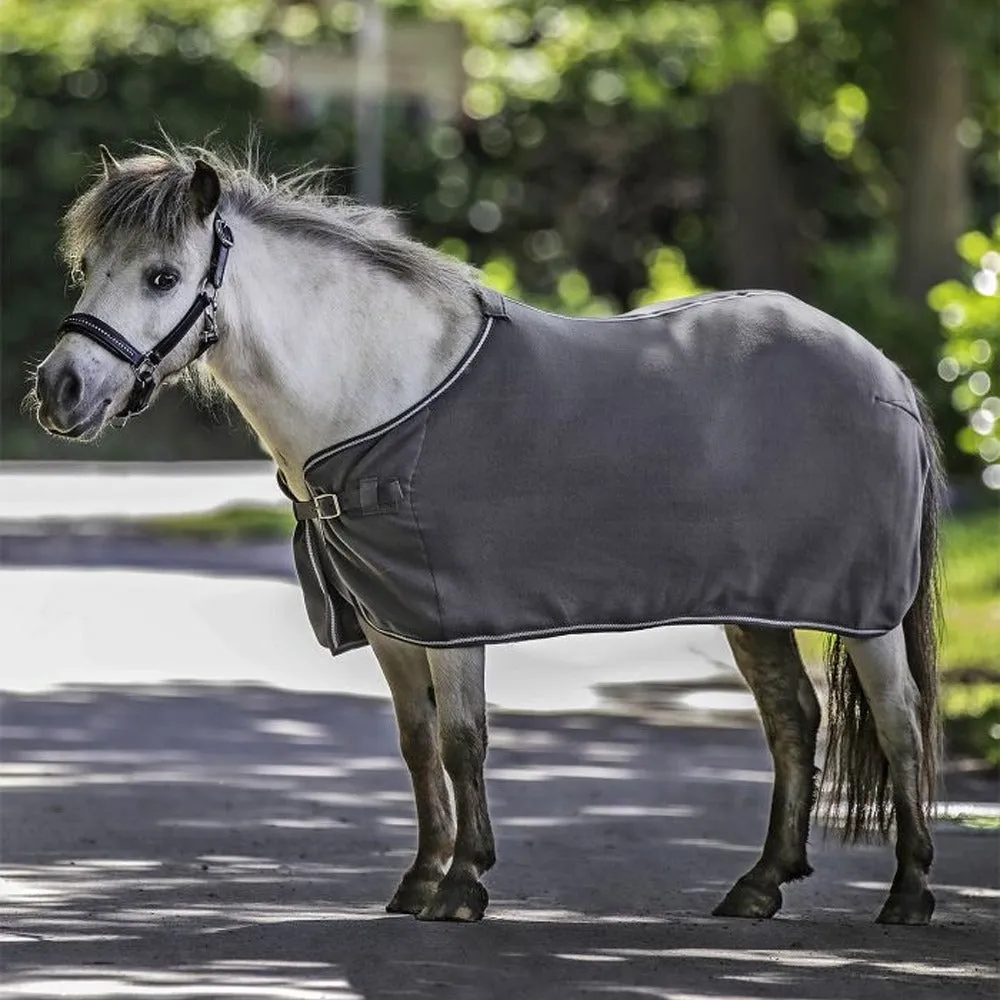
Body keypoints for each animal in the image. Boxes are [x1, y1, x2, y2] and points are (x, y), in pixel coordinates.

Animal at [32, 145, 943, 926]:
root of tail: (885, 372)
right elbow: (416, 743)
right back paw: (759, 886)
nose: (59, 390)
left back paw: (908, 893)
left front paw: (464, 884)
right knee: (793, 718)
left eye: (162, 276)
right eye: (88, 268)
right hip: (758, 608)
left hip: (866, 612)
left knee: (900, 722)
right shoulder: (390, 621)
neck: (379, 390)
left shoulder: (449, 614)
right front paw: (419, 878)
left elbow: (463, 741)